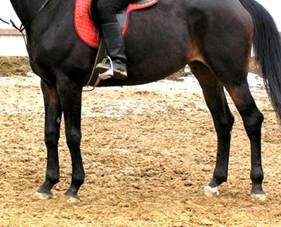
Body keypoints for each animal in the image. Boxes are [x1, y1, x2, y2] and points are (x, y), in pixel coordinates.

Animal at [9, 0, 280, 202]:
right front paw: (47, 184)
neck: (51, 10)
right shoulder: (49, 85)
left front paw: (74, 186)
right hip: (206, 73)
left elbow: (72, 135)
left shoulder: (69, 83)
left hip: (232, 75)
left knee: (252, 119)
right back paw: (215, 181)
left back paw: (257, 186)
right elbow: (50, 134)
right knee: (223, 122)